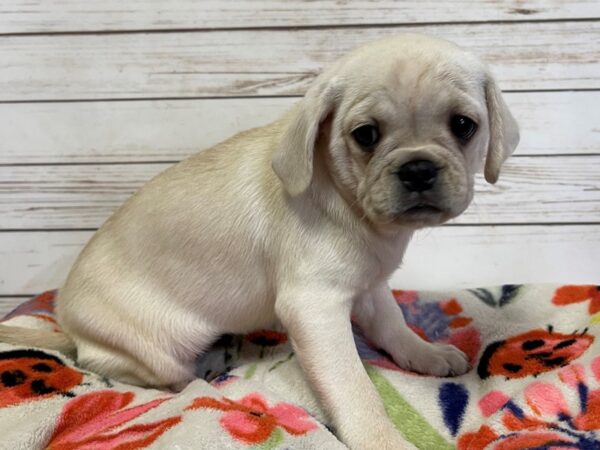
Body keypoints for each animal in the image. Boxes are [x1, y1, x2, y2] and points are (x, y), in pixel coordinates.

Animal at [0, 33, 516, 448]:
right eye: (366, 135)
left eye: (464, 126)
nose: (418, 168)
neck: (355, 209)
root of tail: (67, 325)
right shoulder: (315, 308)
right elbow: (354, 387)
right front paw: (381, 439)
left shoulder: (369, 287)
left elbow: (393, 327)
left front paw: (425, 354)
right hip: (152, 353)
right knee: (143, 375)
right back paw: (201, 375)